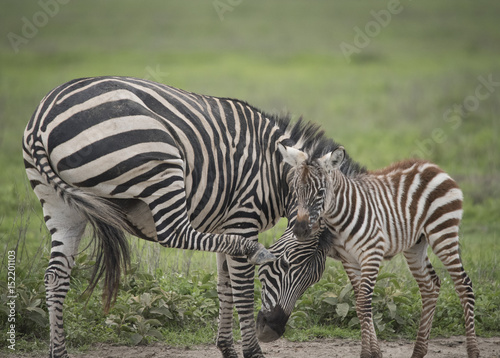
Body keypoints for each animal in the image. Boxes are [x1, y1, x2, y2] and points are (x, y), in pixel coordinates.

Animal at [23, 77, 334, 358]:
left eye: (313, 279)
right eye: (285, 265)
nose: (273, 331)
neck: (274, 170)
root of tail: (41, 121)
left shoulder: (224, 225)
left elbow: (224, 287)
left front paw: (227, 348)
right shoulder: (242, 218)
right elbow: (242, 290)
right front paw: (252, 352)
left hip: (60, 205)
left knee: (55, 277)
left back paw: (58, 350)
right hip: (159, 159)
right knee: (174, 232)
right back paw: (251, 249)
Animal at [258, 145, 480, 358]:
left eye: (320, 192)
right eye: (295, 190)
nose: (300, 230)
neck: (338, 219)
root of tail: (433, 166)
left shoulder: (372, 253)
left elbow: (364, 303)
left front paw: (368, 353)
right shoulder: (349, 260)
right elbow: (359, 303)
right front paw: (374, 352)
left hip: (443, 232)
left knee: (464, 285)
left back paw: (473, 351)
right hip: (415, 245)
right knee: (430, 285)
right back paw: (418, 351)